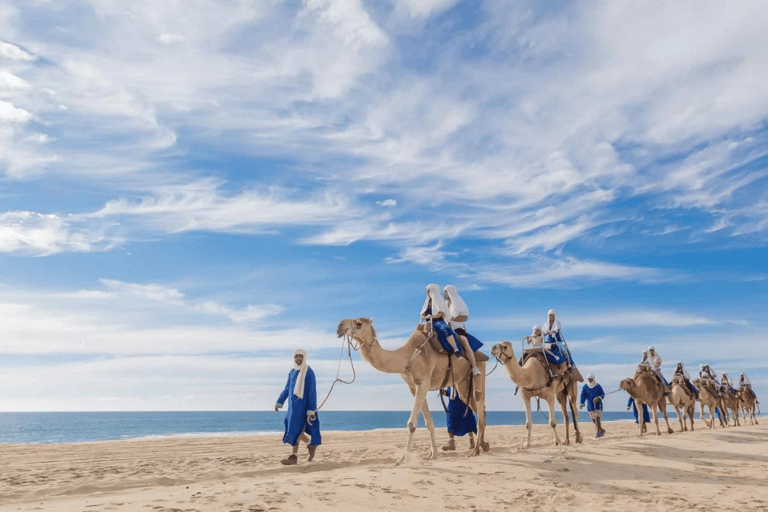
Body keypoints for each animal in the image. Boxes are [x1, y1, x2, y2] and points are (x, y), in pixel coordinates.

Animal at [337, 318, 489, 466]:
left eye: (359, 323)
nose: (339, 327)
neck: (408, 357)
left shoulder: (423, 383)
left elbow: (411, 424)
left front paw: (402, 459)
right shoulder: (414, 387)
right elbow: (429, 423)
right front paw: (433, 454)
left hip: (478, 372)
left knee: (480, 408)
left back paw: (475, 451)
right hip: (462, 384)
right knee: (479, 409)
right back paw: (484, 445)